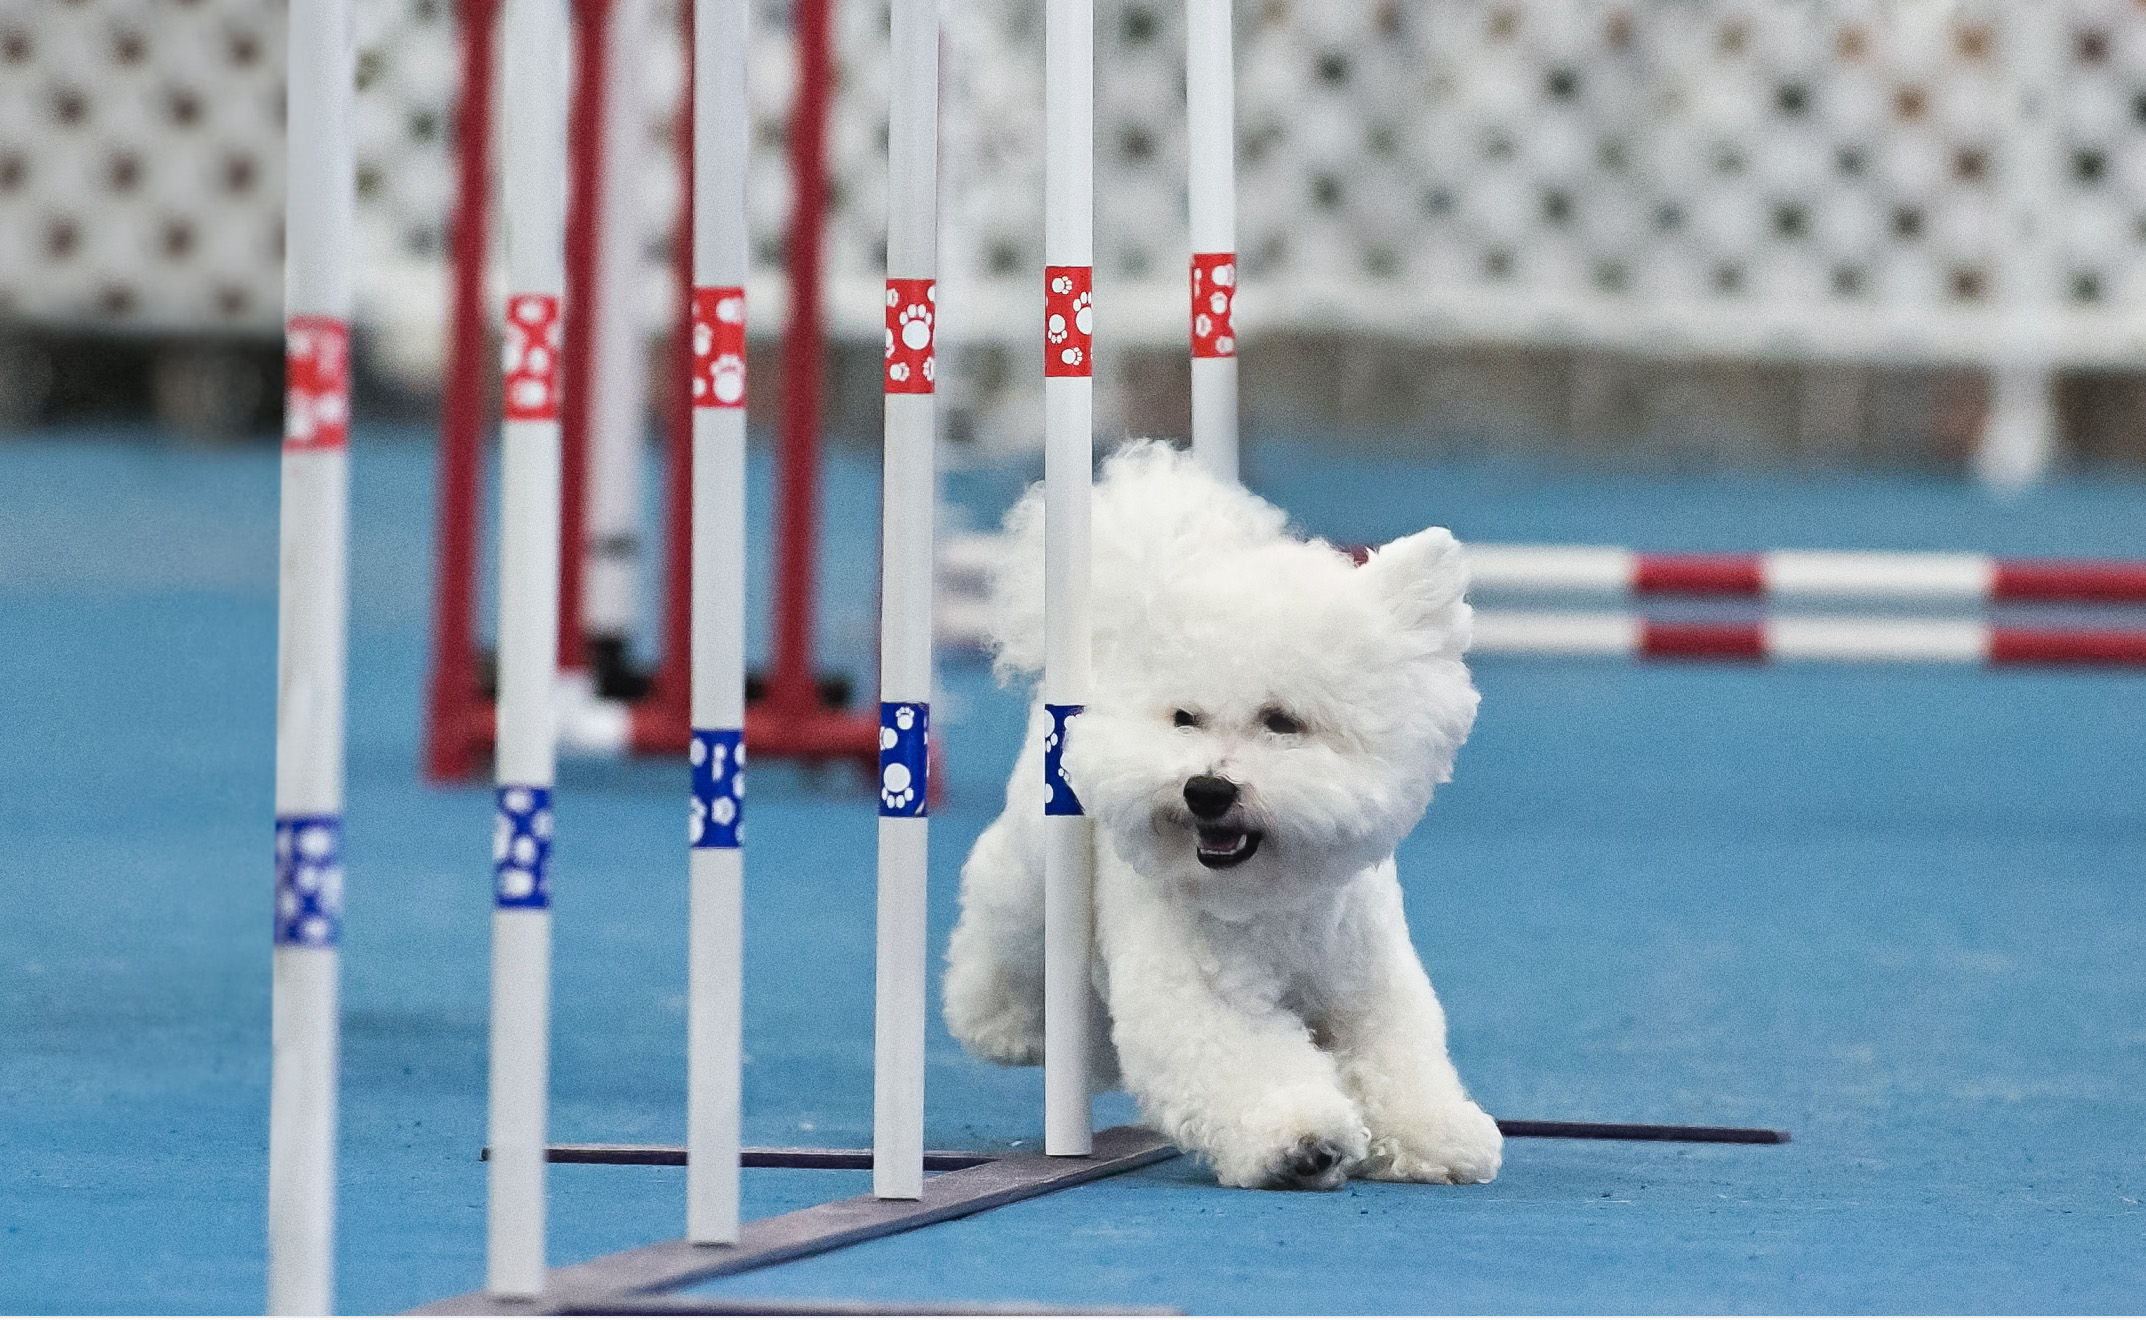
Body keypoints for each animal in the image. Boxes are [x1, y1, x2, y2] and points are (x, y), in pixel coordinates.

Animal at [948, 442, 1502, 1184]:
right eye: (1185, 718)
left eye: (1283, 721)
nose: (1205, 790)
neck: (1274, 902)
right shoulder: (1198, 997)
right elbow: (1243, 1065)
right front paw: (1302, 1139)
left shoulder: (1369, 984)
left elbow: (1400, 1057)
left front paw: (1436, 1134)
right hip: (1032, 879)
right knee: (1004, 944)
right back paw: (1005, 1025)